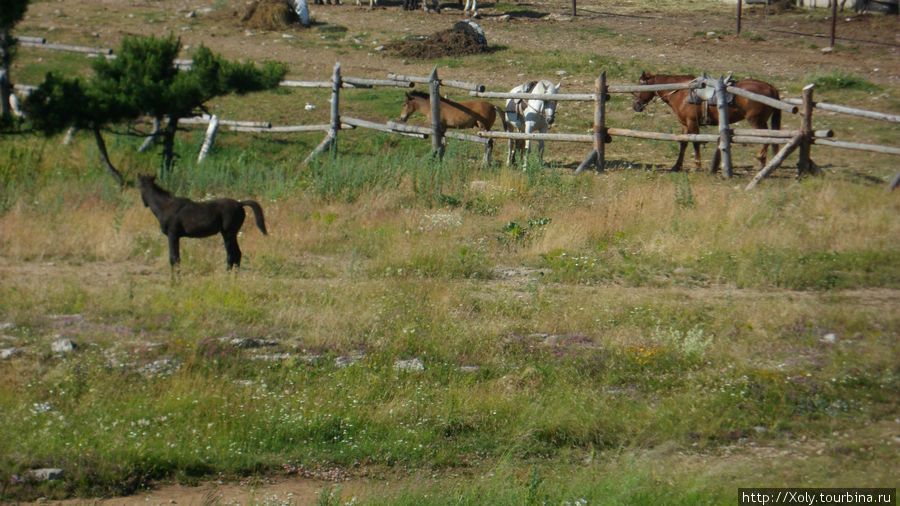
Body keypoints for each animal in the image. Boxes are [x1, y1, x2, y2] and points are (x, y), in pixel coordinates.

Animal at [632, 71, 780, 172]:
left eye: (638, 88)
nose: (635, 106)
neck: (681, 93)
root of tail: (771, 87)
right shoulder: (685, 124)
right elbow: (683, 143)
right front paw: (677, 166)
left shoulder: (692, 122)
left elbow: (695, 142)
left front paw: (696, 165)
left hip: (756, 121)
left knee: (766, 137)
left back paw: (760, 160)